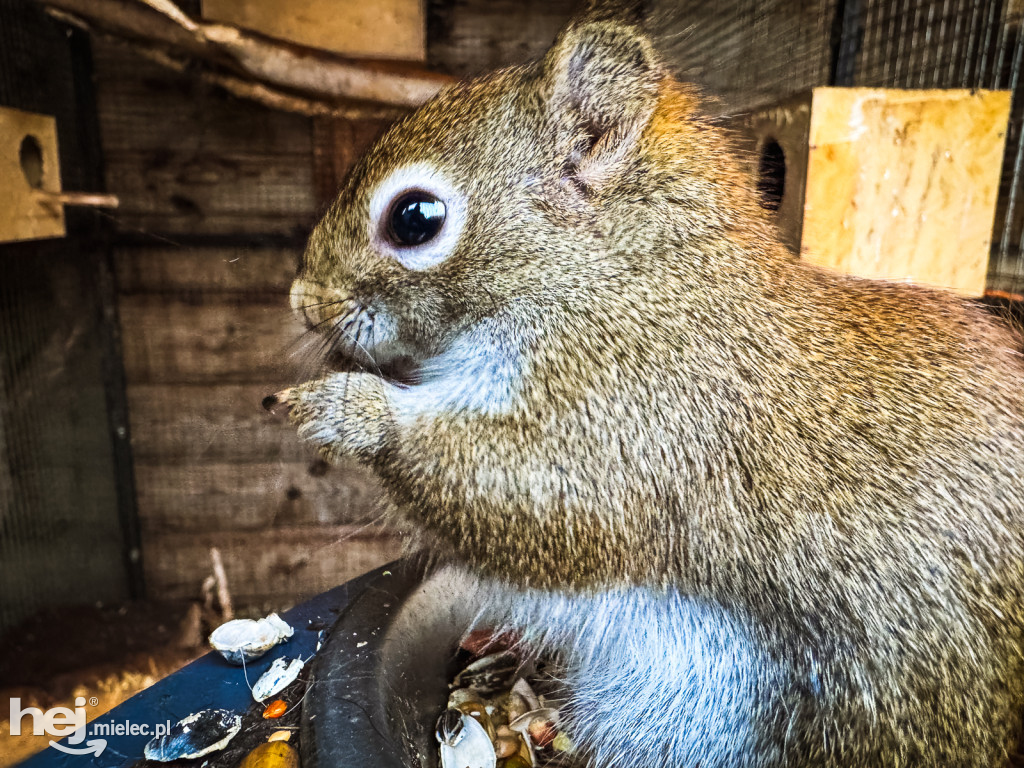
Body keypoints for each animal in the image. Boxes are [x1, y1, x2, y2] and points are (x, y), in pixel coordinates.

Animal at [266, 7, 1024, 768]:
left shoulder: (649, 409)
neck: (623, 275)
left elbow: (543, 497)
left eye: (414, 217)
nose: (303, 304)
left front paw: (349, 410)